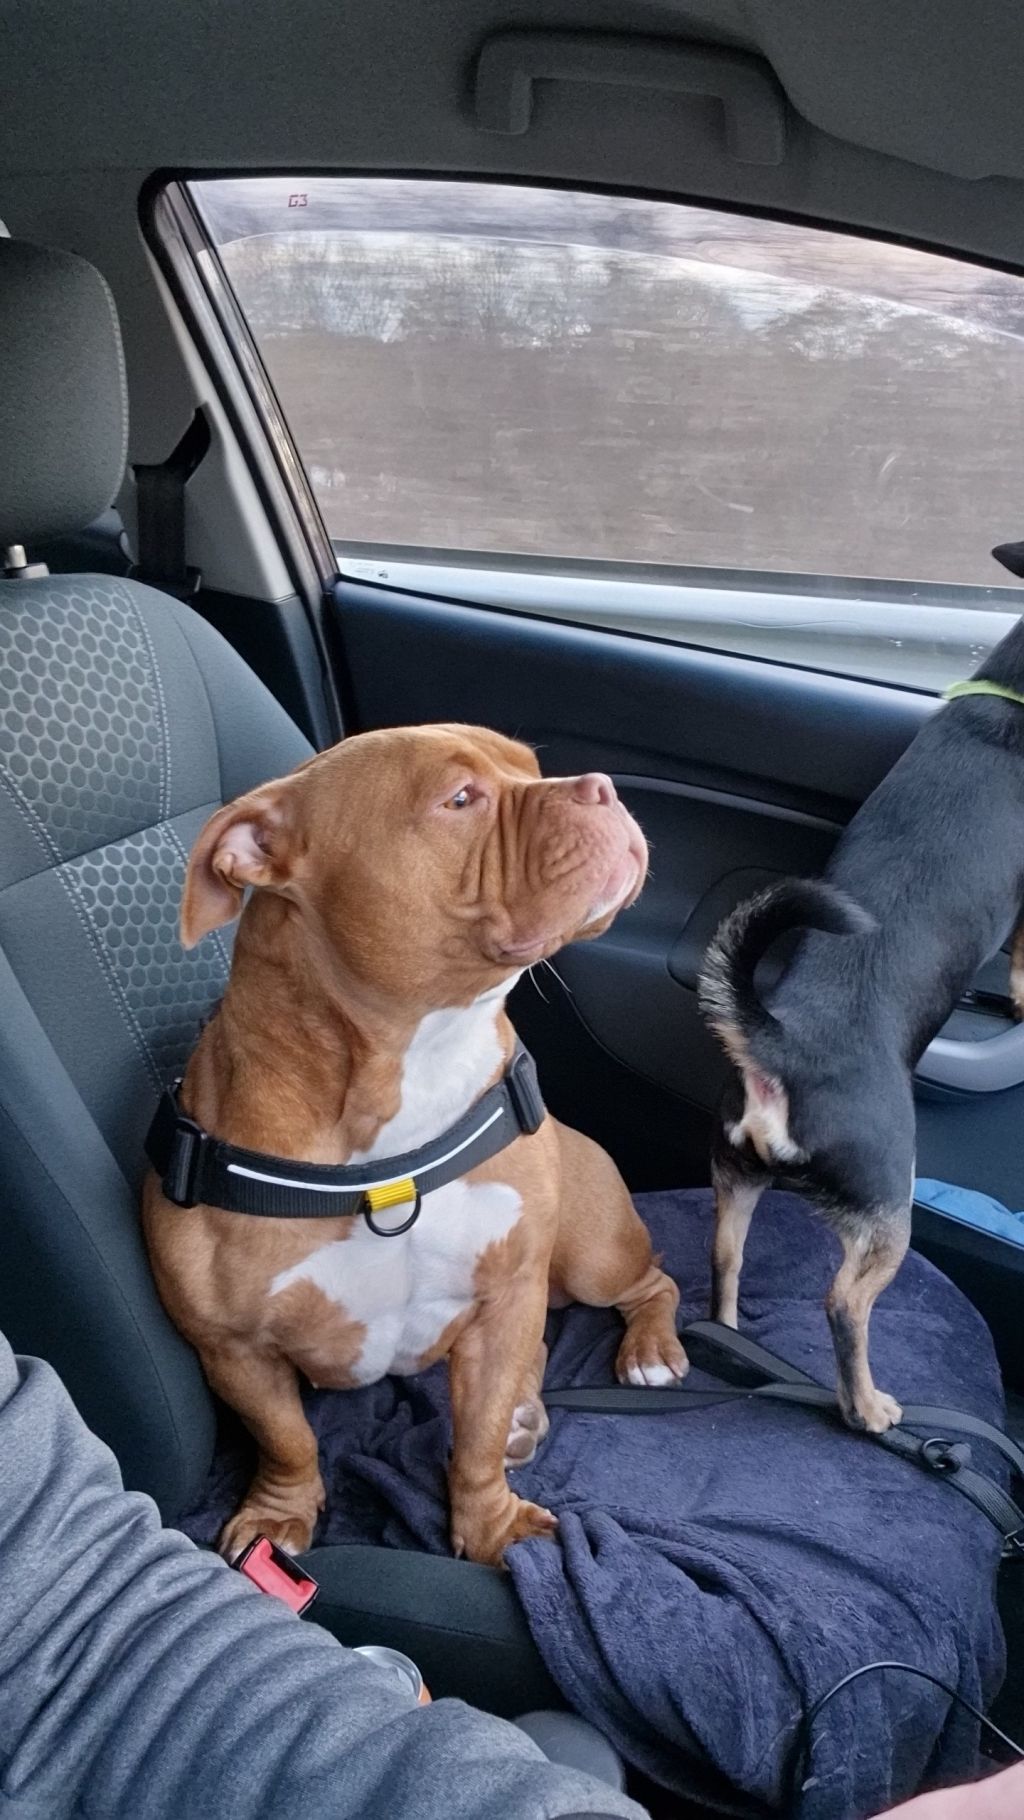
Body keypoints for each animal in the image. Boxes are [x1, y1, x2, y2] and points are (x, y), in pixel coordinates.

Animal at [143, 724, 686, 1567]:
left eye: (531, 768)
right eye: (459, 799)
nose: (599, 786)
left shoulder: (507, 1291)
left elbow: (476, 1437)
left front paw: (493, 1526)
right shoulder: (232, 1349)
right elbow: (287, 1439)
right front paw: (277, 1513)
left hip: (591, 1253)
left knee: (652, 1283)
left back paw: (647, 1353)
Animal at [697, 619, 1024, 1435]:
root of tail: (783, 1045)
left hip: (734, 1176)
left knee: (725, 1260)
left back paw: (729, 1337)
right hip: (888, 1203)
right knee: (845, 1303)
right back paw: (865, 1405)